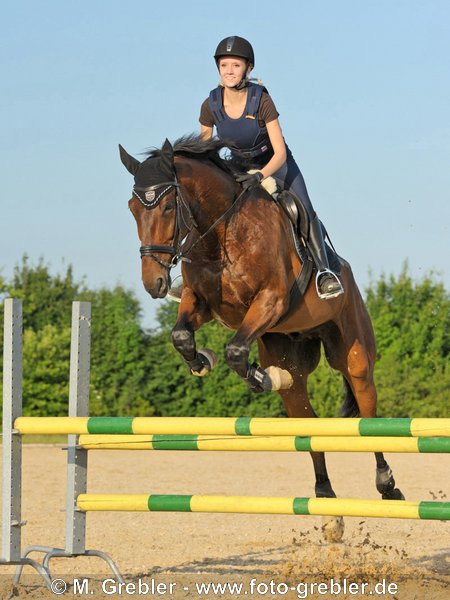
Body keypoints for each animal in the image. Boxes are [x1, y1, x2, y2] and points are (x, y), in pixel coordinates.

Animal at [119, 135, 404, 540]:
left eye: (168, 205)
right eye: (132, 208)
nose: (153, 283)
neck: (220, 234)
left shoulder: (271, 300)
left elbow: (237, 350)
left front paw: (261, 377)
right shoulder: (200, 302)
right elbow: (181, 336)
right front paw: (203, 362)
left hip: (354, 353)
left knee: (368, 414)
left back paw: (387, 485)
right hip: (293, 363)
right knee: (308, 422)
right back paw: (328, 507)